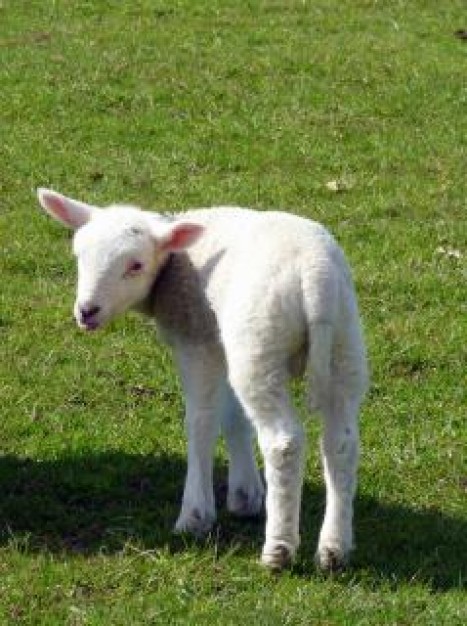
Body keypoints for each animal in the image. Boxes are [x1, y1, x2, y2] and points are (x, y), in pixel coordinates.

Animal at [36, 186, 370, 572]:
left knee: (283, 442)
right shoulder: (219, 342)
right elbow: (235, 417)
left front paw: (195, 515)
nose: (87, 311)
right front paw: (245, 494)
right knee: (341, 443)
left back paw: (278, 549)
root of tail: (316, 280)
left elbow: (201, 422)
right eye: (79, 255)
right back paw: (334, 549)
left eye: (136, 265)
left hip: (261, 341)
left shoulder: (195, 341)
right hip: (344, 344)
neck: (174, 263)